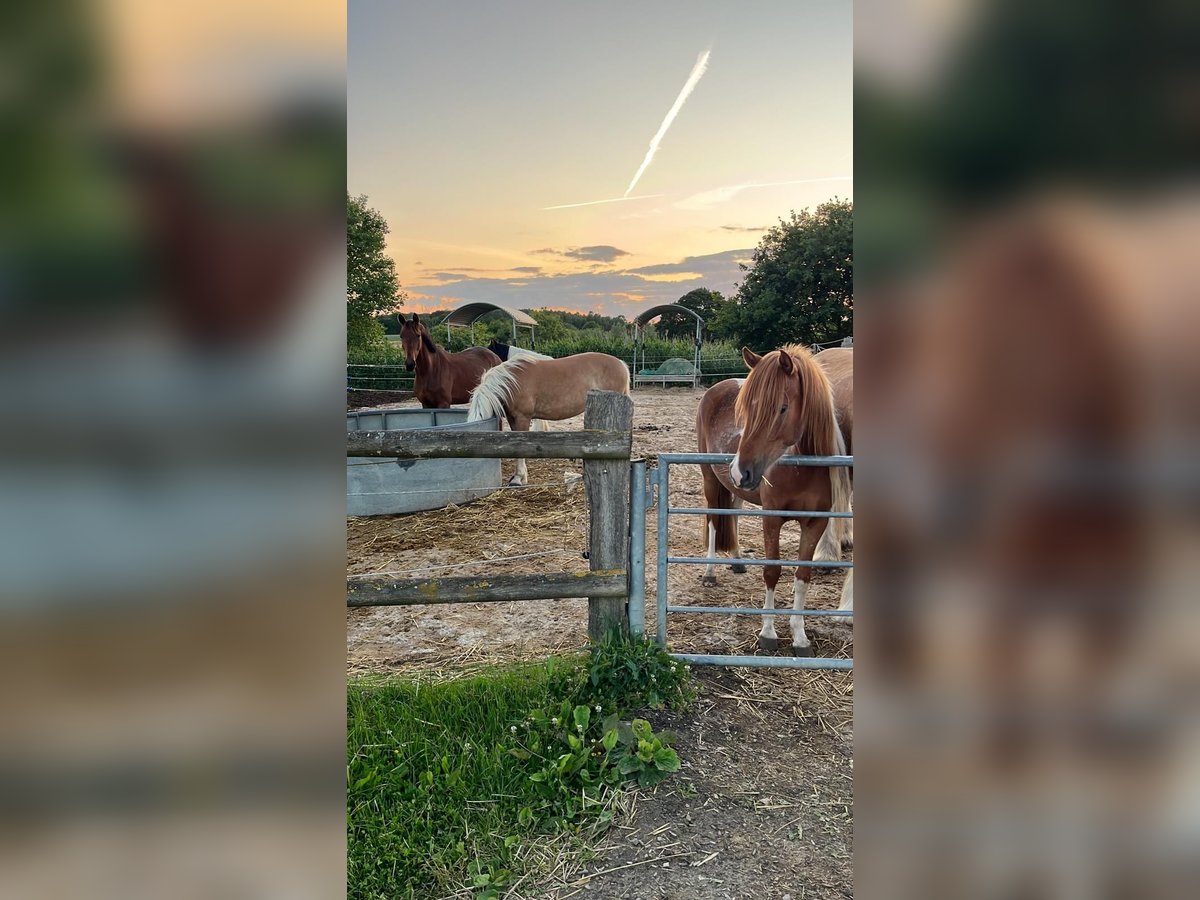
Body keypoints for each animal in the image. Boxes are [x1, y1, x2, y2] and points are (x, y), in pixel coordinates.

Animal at [695, 344, 853, 655]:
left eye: (783, 407)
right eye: (746, 409)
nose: (740, 470)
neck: (800, 469)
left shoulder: (815, 523)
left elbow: (802, 577)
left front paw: (800, 637)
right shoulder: (771, 519)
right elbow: (772, 571)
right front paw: (767, 633)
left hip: (736, 488)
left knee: (733, 513)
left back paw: (737, 560)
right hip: (711, 480)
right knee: (714, 520)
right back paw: (709, 573)